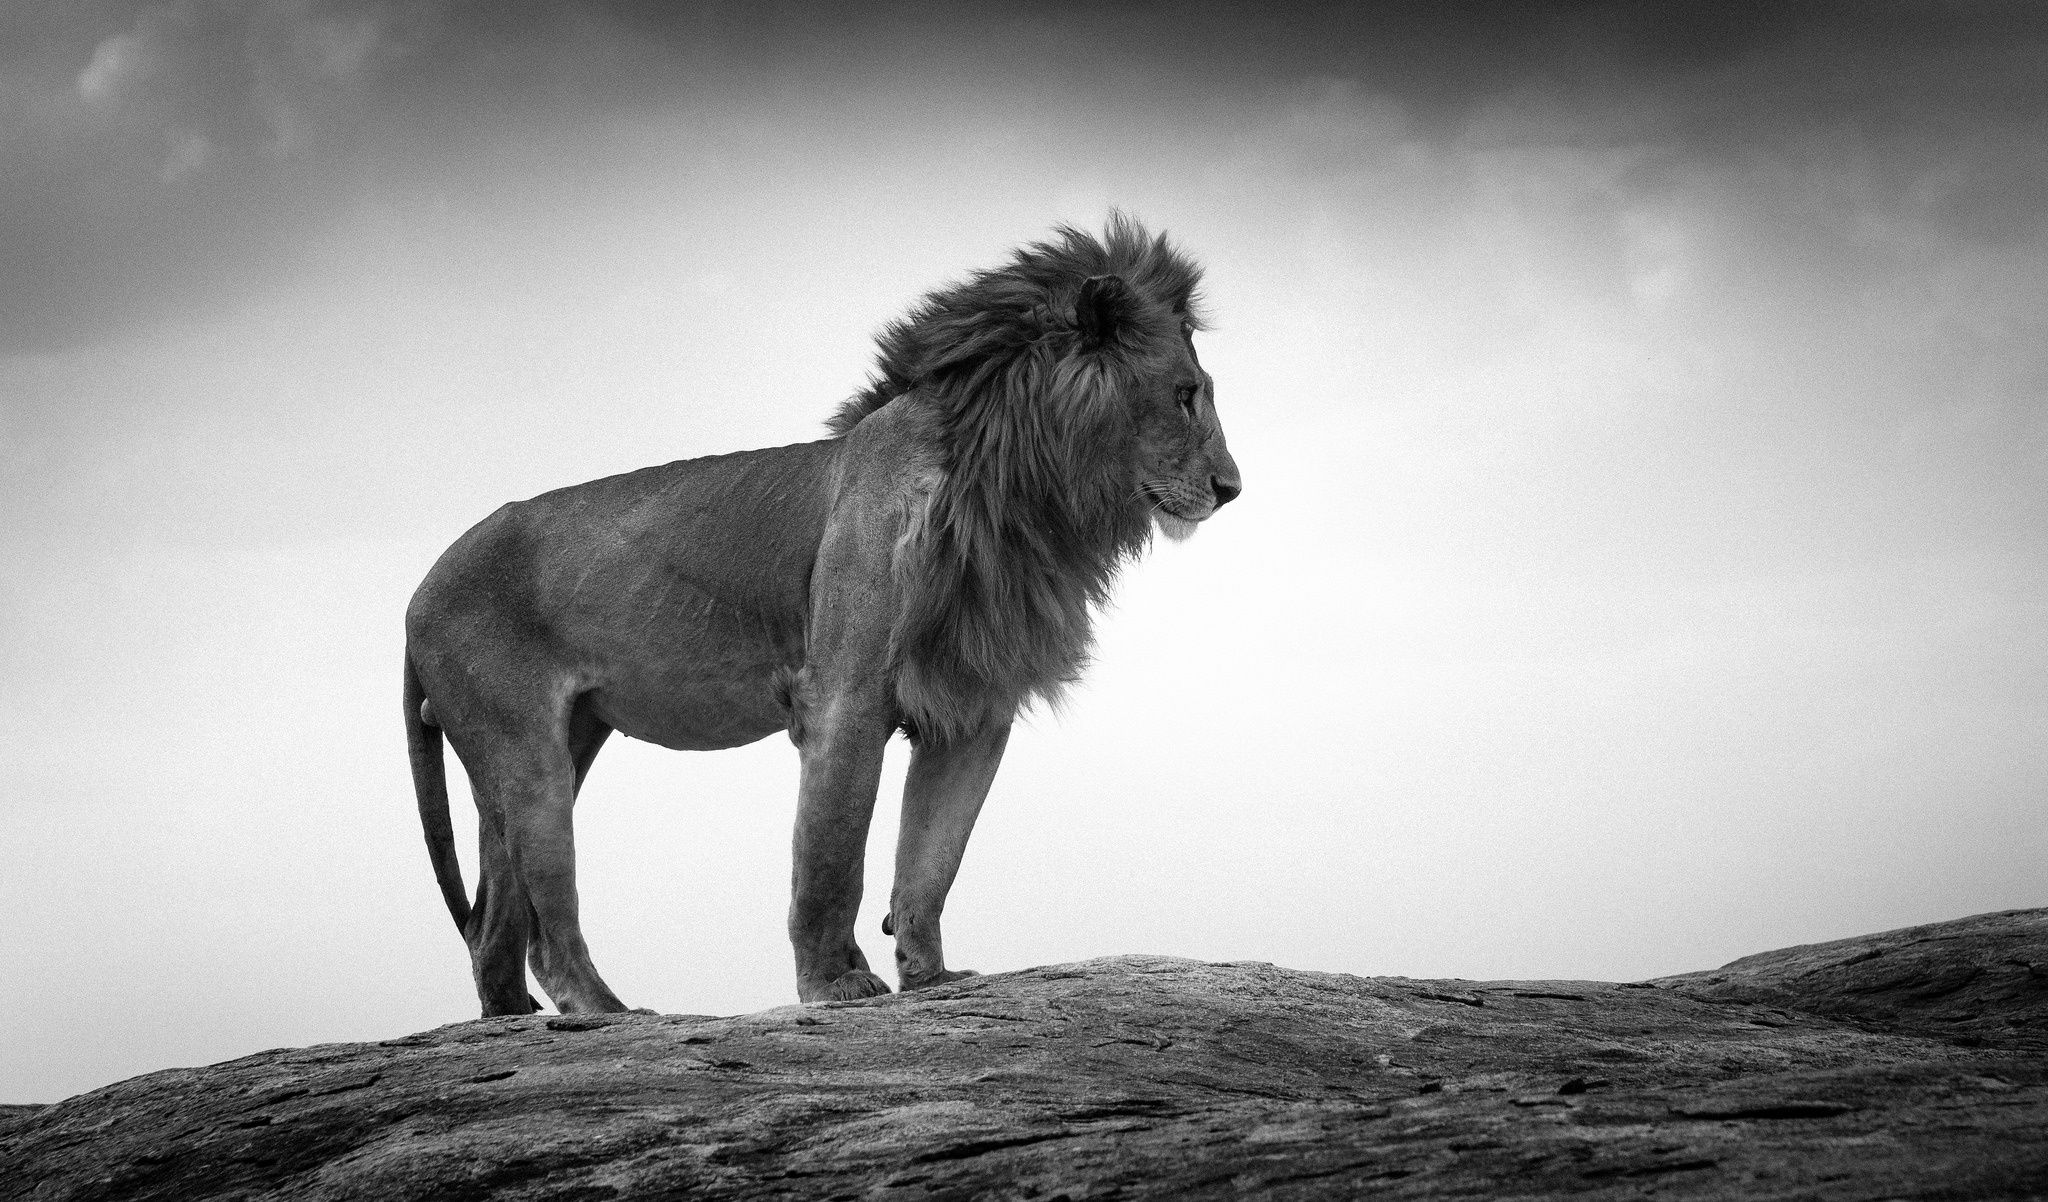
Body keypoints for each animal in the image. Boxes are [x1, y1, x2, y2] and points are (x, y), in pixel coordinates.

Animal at [404, 215, 1240, 1016]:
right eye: (1186, 394)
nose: (1233, 488)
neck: (1021, 498)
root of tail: (415, 595)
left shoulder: (974, 705)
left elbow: (930, 860)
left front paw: (931, 978)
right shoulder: (845, 693)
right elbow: (833, 853)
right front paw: (833, 984)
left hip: (555, 744)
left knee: (491, 923)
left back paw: (514, 1019)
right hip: (527, 751)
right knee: (544, 922)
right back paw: (610, 1012)